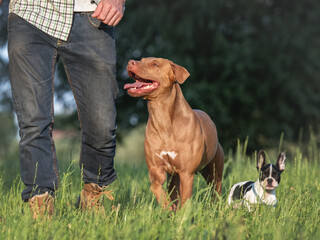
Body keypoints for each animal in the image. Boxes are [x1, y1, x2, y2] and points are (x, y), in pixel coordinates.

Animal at [124, 57, 224, 210]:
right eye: (141, 59)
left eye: (154, 64)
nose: (130, 62)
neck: (162, 118)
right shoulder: (156, 170)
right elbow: (157, 188)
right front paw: (167, 207)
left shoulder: (186, 173)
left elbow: (185, 199)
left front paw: (182, 214)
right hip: (175, 176)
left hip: (214, 173)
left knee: (216, 191)